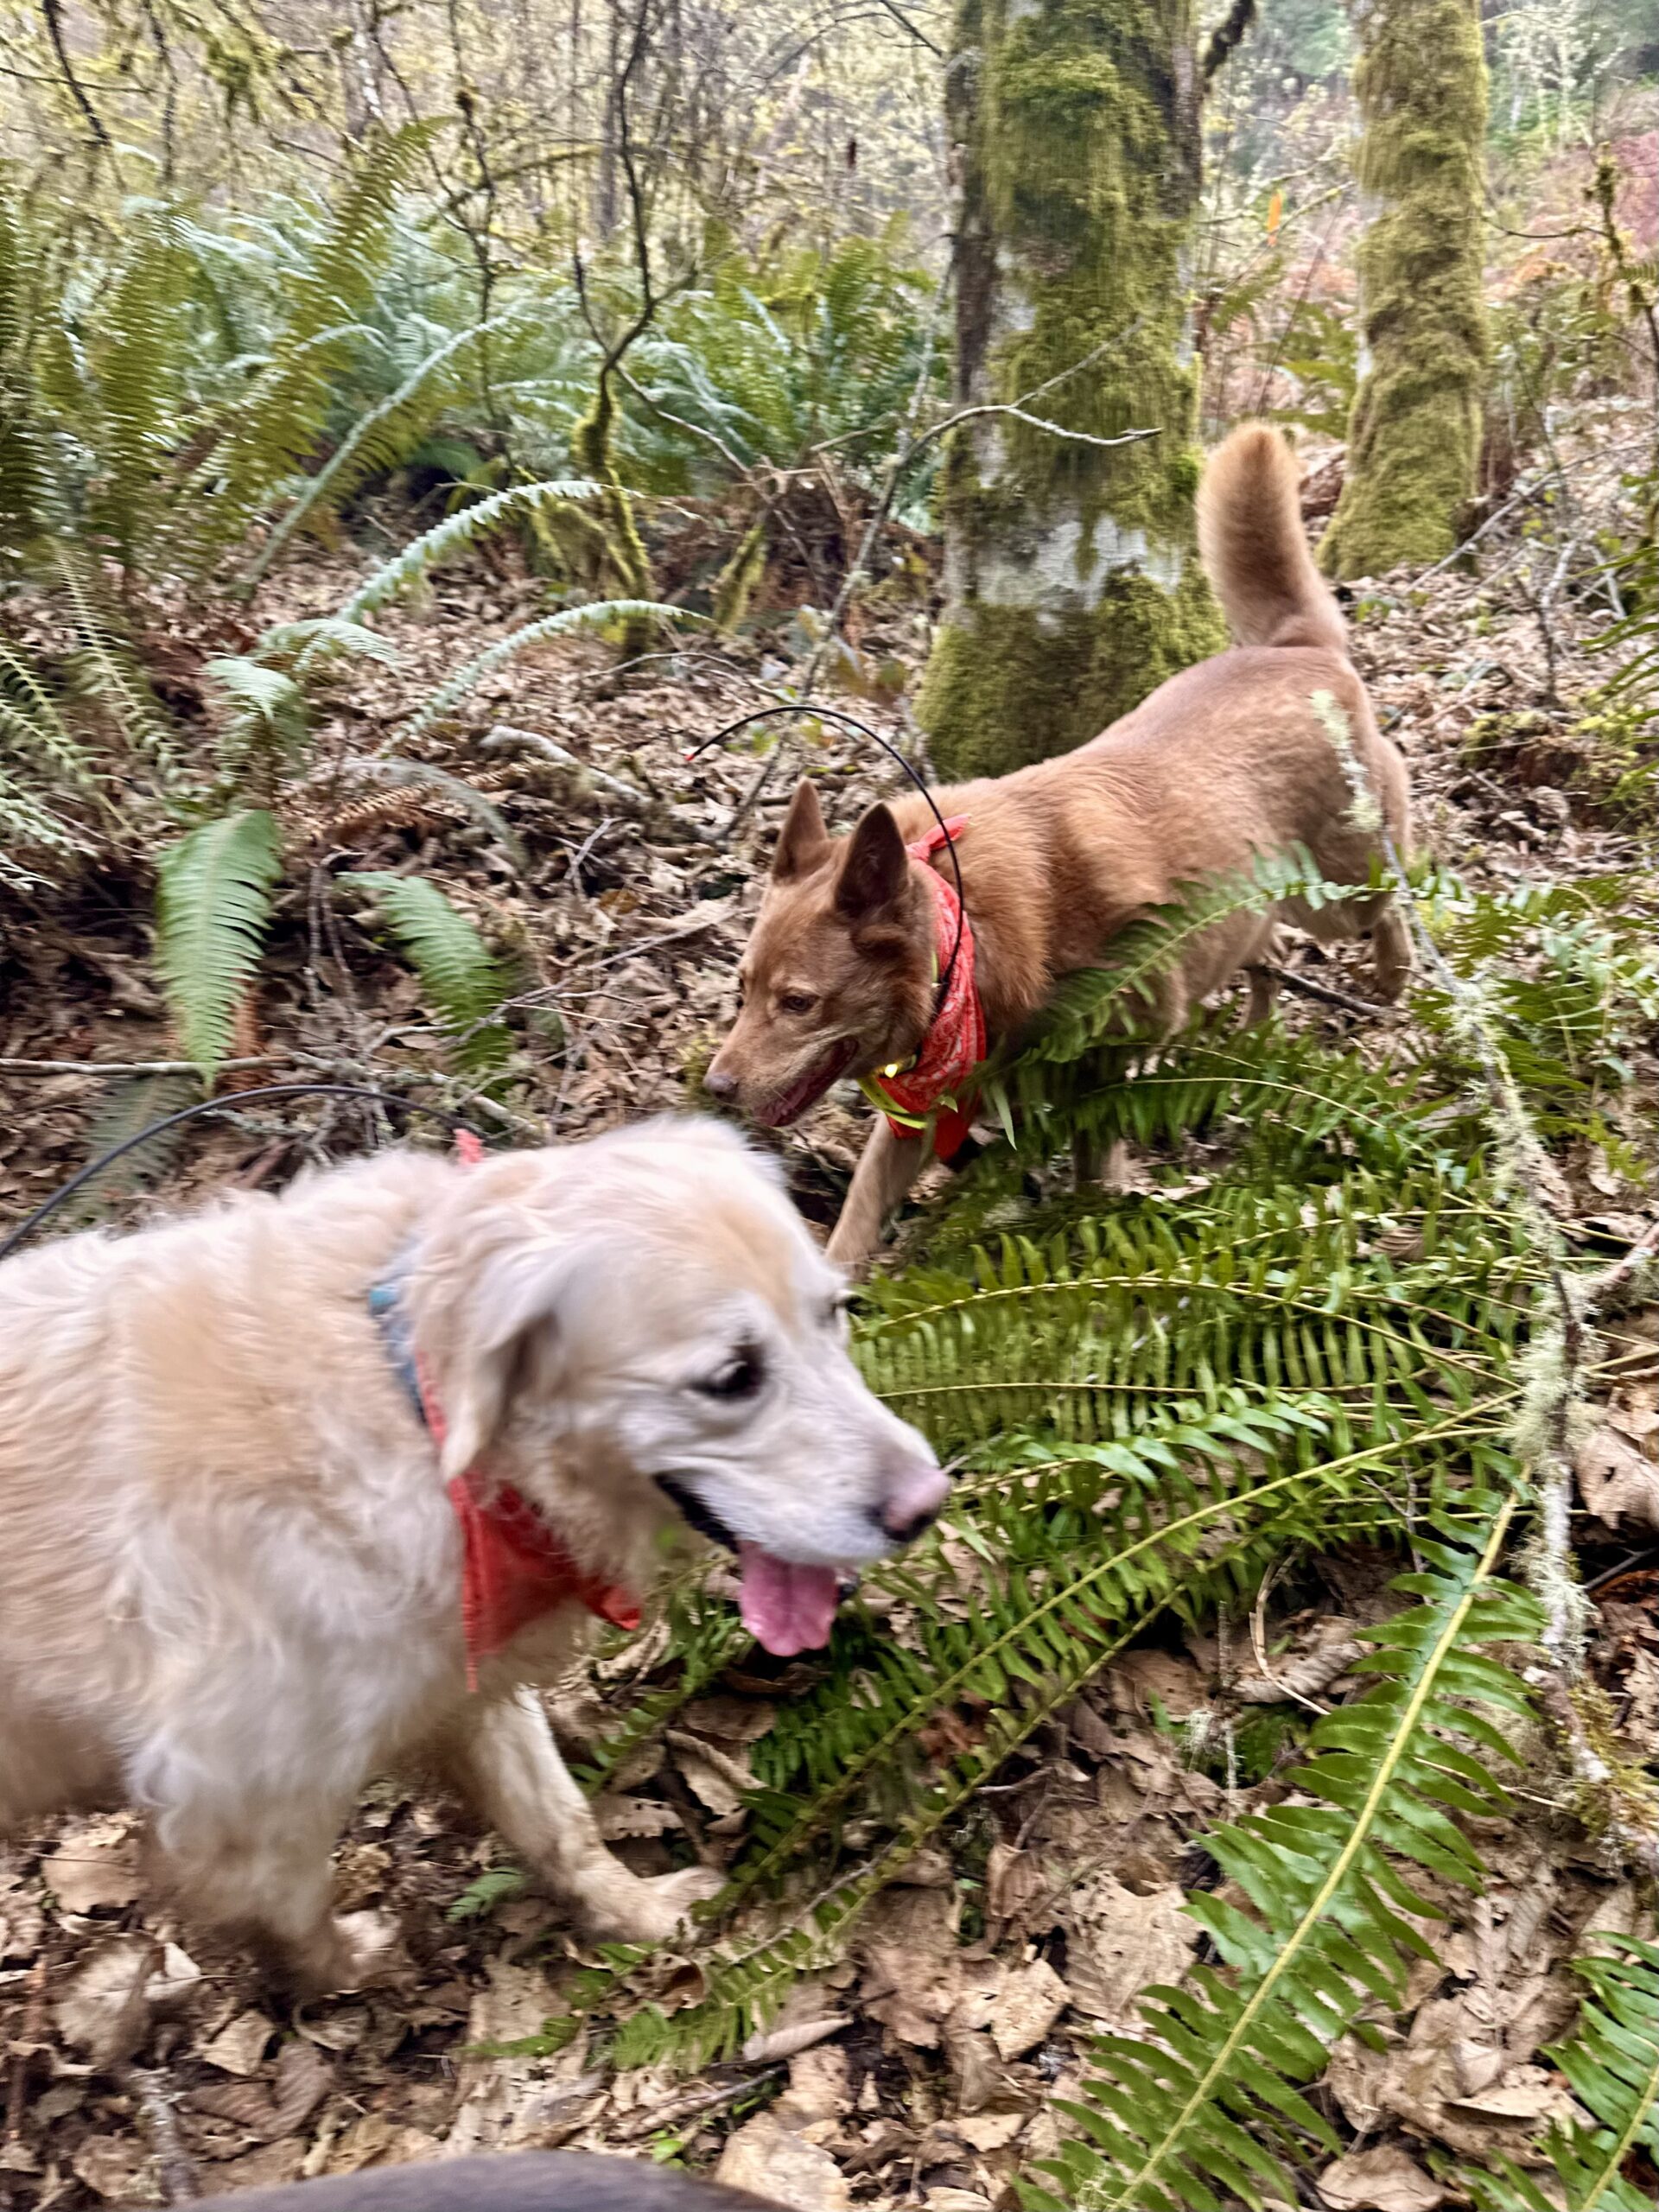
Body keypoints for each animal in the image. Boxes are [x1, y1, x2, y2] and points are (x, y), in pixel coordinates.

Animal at [0, 1123, 946, 1991]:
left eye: (835, 1312)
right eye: (732, 1376)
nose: (927, 1504)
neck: (416, 1408)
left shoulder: (462, 1678)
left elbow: (559, 1818)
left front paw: (643, 1916)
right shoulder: (241, 1788)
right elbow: (292, 1901)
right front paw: (342, 1971)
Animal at [708, 424, 1424, 1274]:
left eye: (798, 1003)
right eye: (742, 991)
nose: (715, 1091)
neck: (970, 935)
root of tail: (1295, 648)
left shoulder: (1103, 1058)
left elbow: (1091, 1163)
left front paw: (1095, 1219)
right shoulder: (925, 1111)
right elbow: (861, 1211)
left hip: (1340, 892)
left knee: (1390, 900)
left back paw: (1394, 976)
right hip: (1249, 905)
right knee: (1272, 955)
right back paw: (1252, 1035)